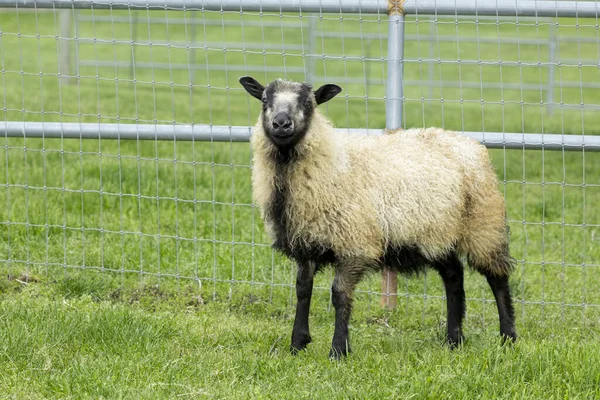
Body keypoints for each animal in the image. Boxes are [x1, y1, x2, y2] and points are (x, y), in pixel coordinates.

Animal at [238, 76, 516, 360]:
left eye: (307, 103)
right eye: (264, 100)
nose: (281, 123)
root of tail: (469, 142)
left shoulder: (354, 244)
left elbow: (339, 295)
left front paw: (338, 350)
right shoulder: (306, 242)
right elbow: (303, 290)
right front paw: (297, 344)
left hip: (484, 223)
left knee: (497, 278)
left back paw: (508, 338)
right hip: (436, 234)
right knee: (454, 276)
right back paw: (453, 339)